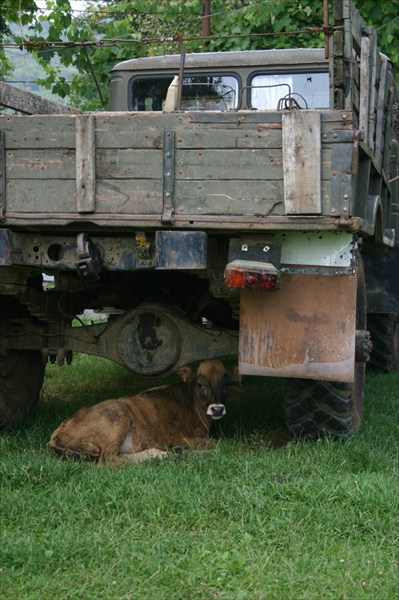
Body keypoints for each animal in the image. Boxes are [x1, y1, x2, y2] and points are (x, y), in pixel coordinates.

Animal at [49, 358, 231, 466]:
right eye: (200, 384)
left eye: (226, 384)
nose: (217, 408)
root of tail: (59, 432)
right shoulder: (178, 436)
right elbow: (216, 443)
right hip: (118, 416)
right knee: (108, 459)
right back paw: (161, 454)